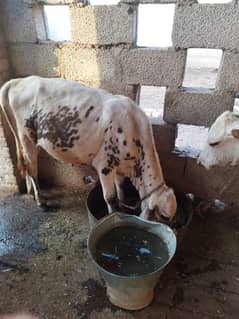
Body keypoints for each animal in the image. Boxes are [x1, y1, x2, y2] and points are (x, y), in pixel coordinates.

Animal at [0, 77, 176, 222]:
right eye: (164, 216)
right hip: (27, 138)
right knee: (32, 168)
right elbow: (110, 197)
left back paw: (31, 193)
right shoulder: (104, 165)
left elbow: (120, 187)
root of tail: (18, 81)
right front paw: (113, 215)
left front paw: (123, 204)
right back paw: (41, 202)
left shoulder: (119, 165)